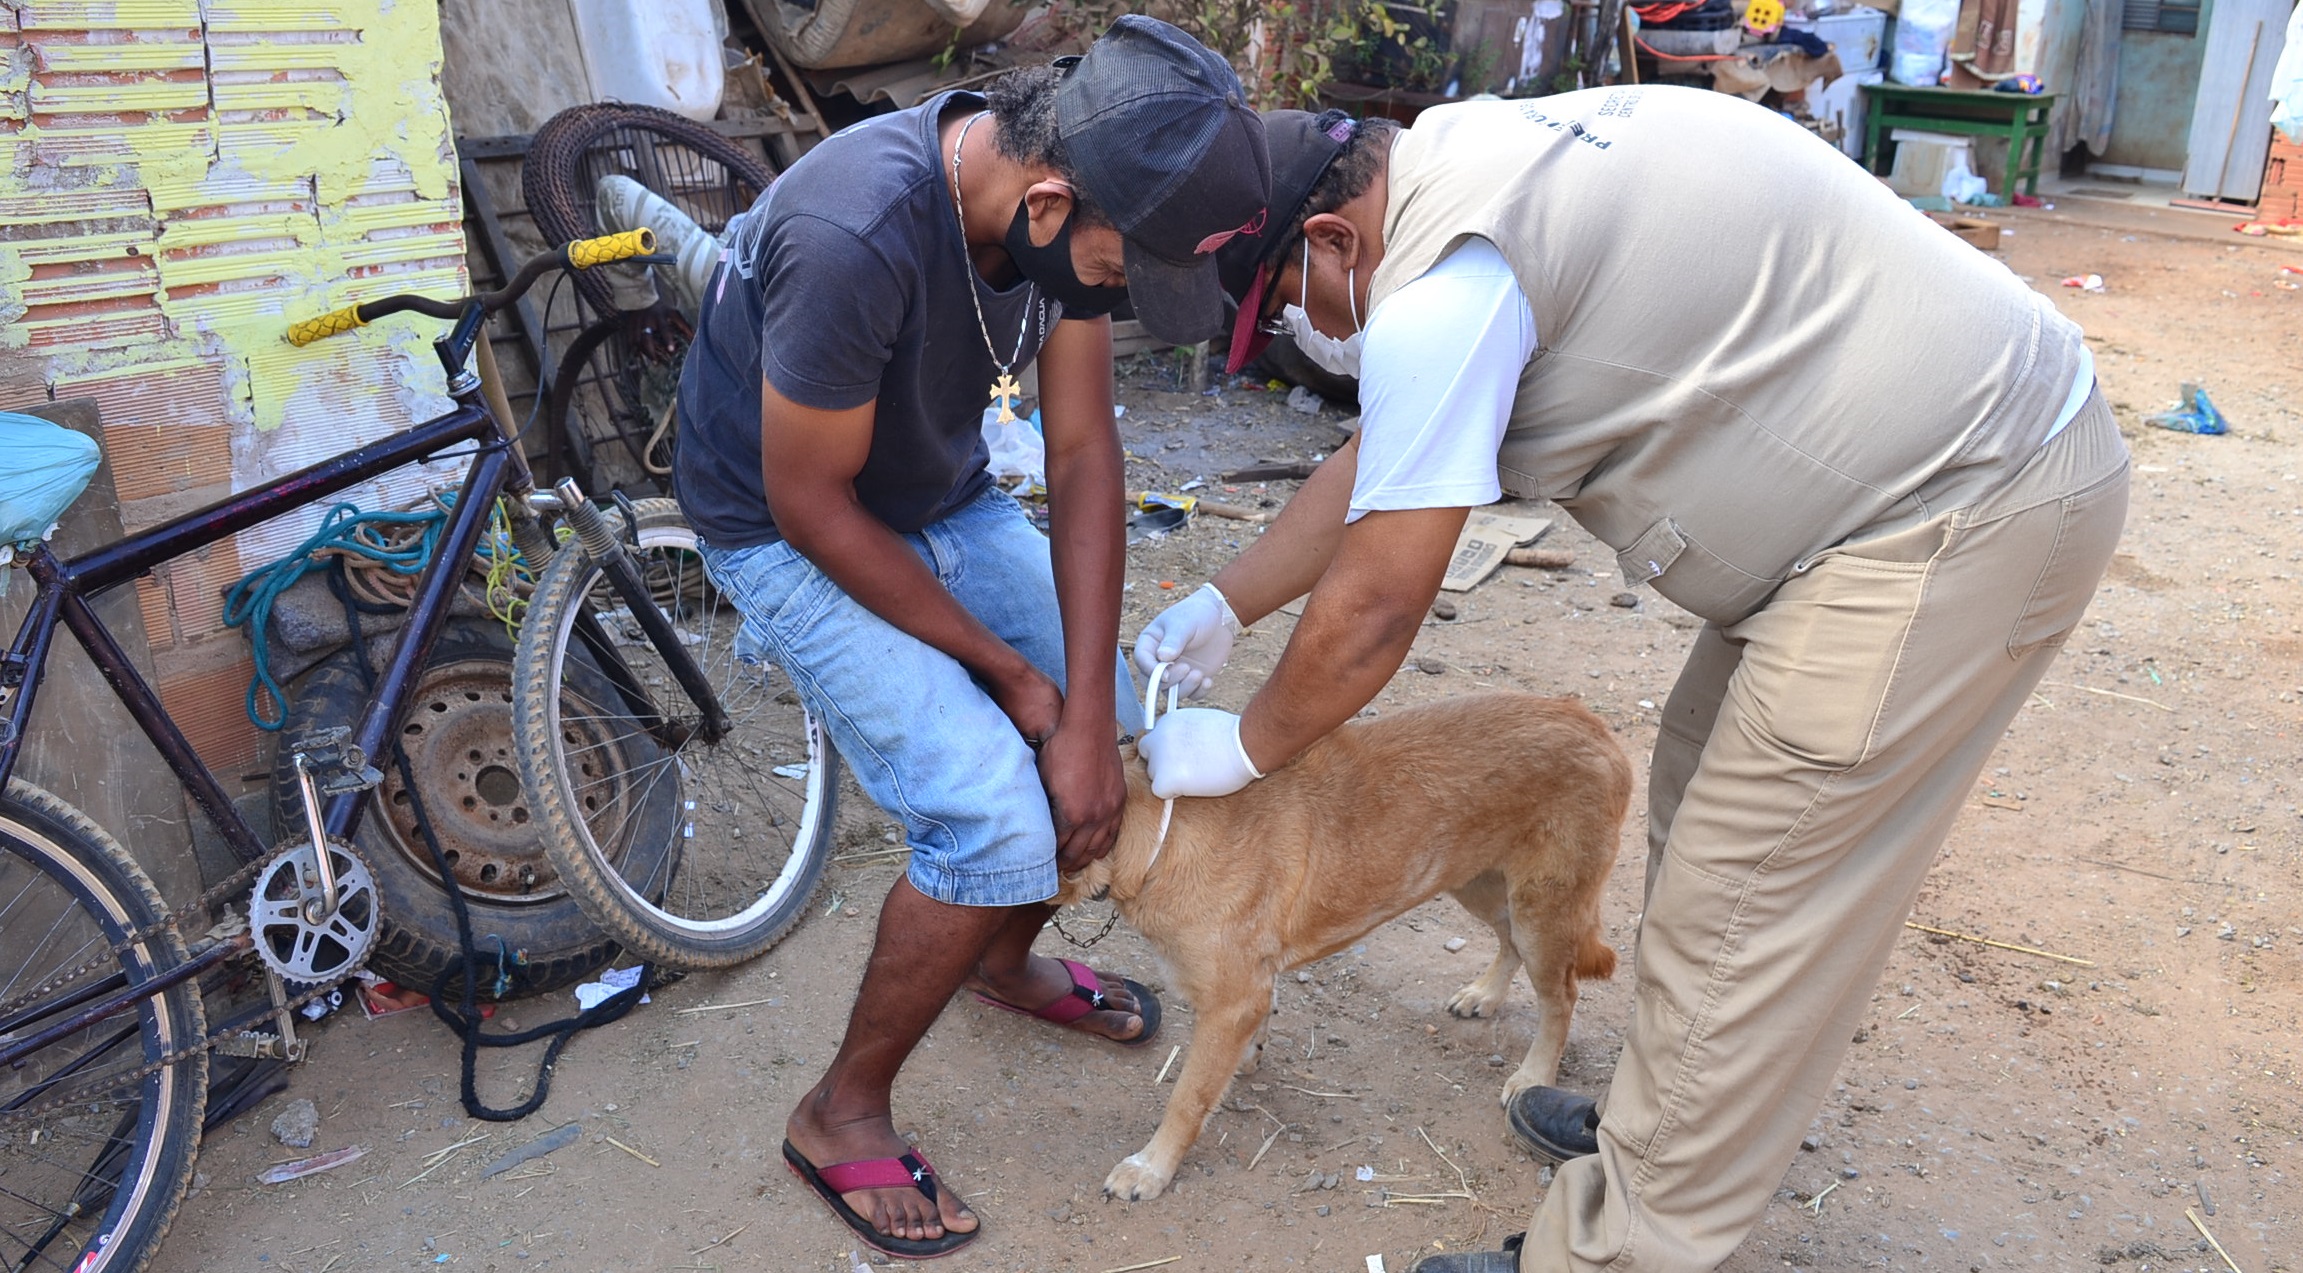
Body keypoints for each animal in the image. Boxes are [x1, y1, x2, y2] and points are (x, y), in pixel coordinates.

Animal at [1059, 690, 1639, 1197]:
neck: (1158, 832)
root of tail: (1594, 725)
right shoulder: (1248, 987)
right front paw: (1250, 1053)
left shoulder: (1229, 1002)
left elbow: (1186, 1097)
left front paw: (1151, 1168)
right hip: (1475, 881)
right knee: (1508, 941)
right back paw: (1485, 994)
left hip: (1543, 910)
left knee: (1561, 996)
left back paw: (1533, 1074)